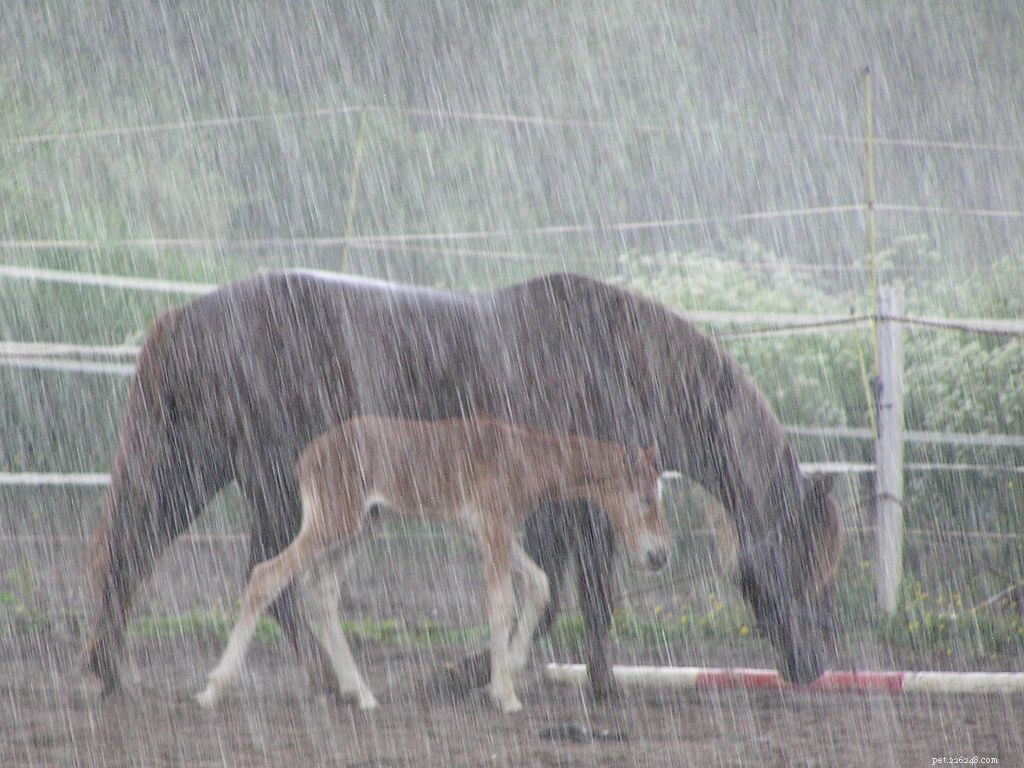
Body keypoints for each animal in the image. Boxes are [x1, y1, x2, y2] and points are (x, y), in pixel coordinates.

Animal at [194, 415, 668, 713]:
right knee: (267, 575)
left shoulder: (489, 531)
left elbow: (539, 585)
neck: (526, 456)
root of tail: (307, 457)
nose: (659, 556)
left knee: (321, 590)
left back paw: (361, 693)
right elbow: (500, 604)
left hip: (363, 526)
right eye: (646, 498)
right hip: (335, 521)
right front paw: (506, 695)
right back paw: (213, 688)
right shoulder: (493, 526)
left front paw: (510, 671)